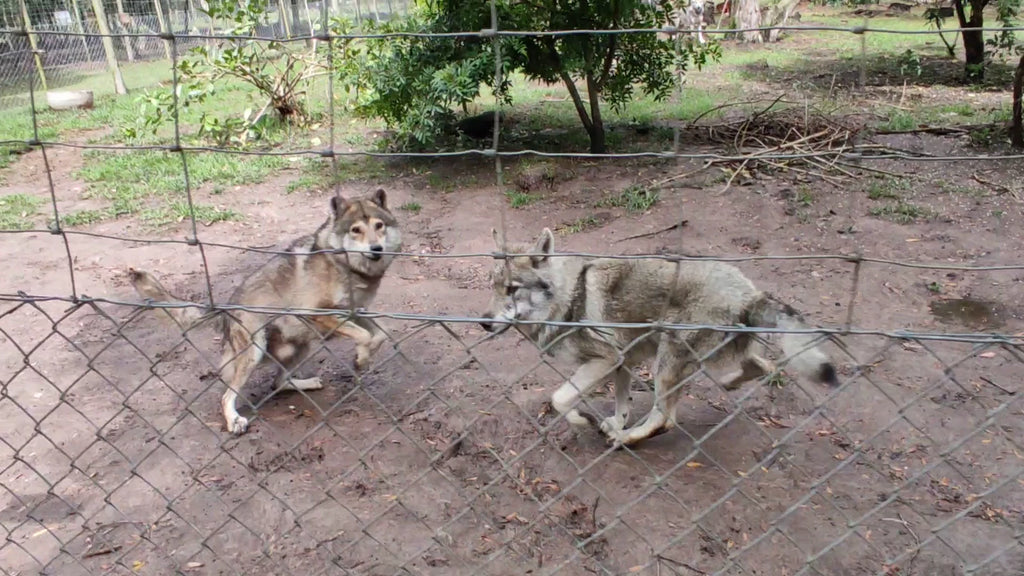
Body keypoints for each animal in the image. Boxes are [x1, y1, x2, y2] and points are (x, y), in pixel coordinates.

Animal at [127, 189, 402, 435]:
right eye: (356, 230)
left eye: (379, 226)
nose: (377, 249)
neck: (348, 268)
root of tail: (226, 309)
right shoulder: (318, 313)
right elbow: (366, 336)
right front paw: (361, 359)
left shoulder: (357, 312)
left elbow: (381, 333)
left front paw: (362, 358)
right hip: (255, 349)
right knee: (228, 396)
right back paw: (234, 422)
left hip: (302, 345)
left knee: (278, 383)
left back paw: (309, 383)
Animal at [479, 228, 840, 448]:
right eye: (492, 287)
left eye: (512, 289)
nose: (483, 322)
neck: (566, 299)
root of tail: (748, 294)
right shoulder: (622, 360)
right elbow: (622, 402)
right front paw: (616, 422)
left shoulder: (606, 359)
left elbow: (560, 399)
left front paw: (584, 422)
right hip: (703, 358)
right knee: (762, 366)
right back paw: (729, 385)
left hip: (665, 364)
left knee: (665, 419)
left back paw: (627, 440)